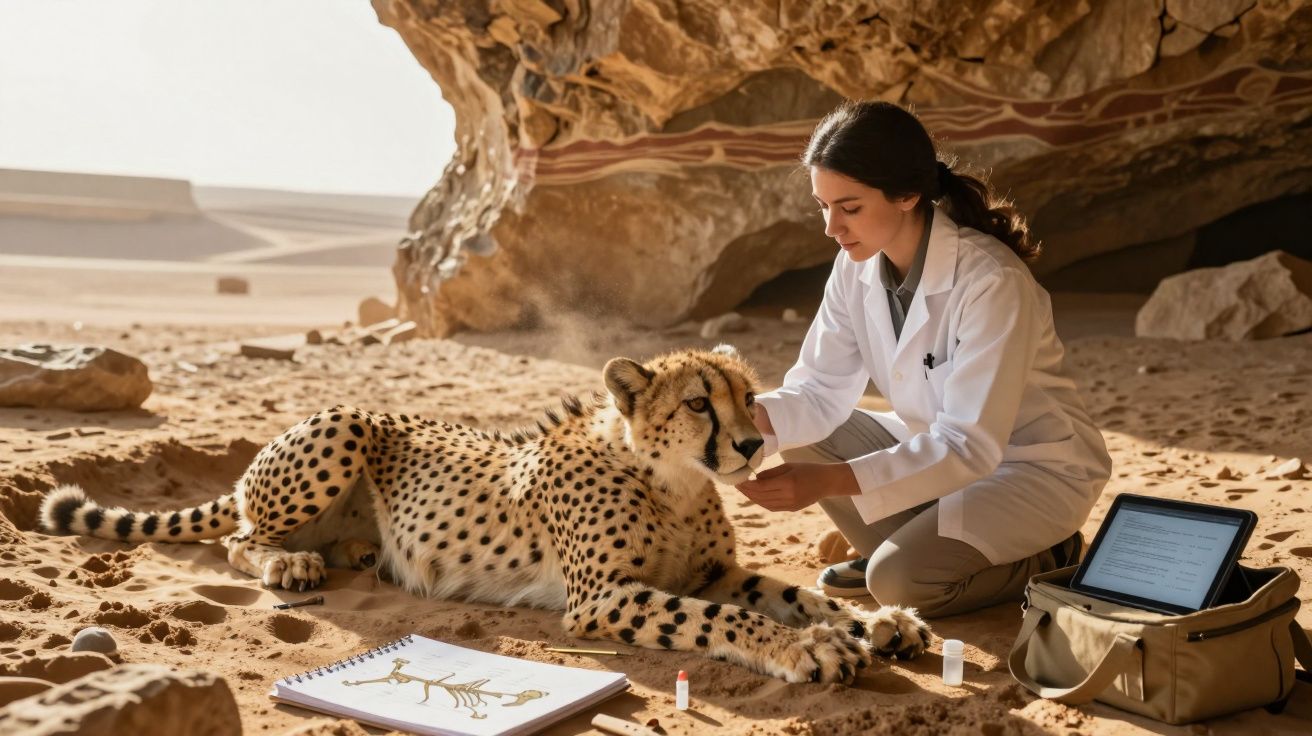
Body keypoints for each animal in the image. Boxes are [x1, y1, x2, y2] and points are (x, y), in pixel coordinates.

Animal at [39, 345, 931, 683]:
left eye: (749, 396)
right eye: (697, 403)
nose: (749, 444)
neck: (669, 480)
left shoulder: (716, 571)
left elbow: (791, 591)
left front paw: (881, 621)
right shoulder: (600, 598)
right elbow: (728, 620)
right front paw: (806, 649)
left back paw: (353, 556)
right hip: (344, 425)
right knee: (237, 538)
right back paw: (292, 561)